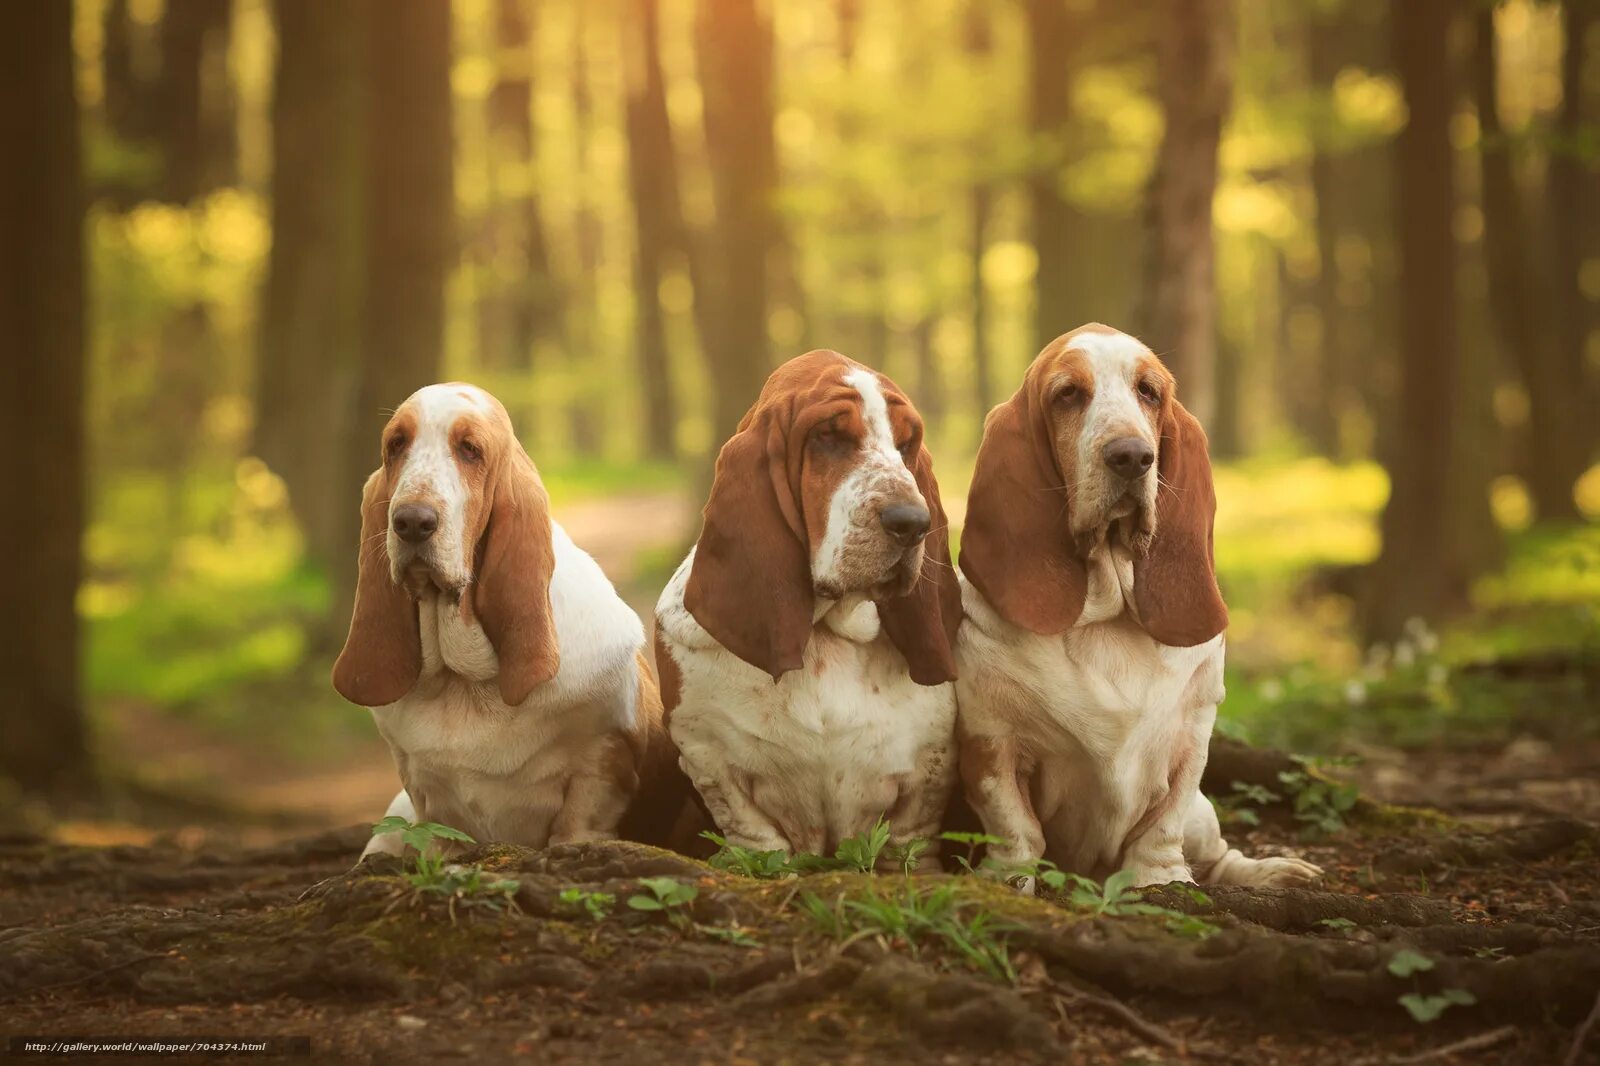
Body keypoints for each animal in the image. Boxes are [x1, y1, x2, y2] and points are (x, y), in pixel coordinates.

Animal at [331, 382, 668, 857]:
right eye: (396, 445)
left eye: (471, 450)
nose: (411, 521)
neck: (467, 683)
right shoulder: (421, 788)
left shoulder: (601, 763)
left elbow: (579, 819)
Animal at [652, 348, 960, 864]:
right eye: (828, 437)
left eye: (906, 443)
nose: (913, 523)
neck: (825, 630)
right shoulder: (707, 752)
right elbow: (756, 836)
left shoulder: (928, 764)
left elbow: (909, 838)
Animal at [953, 326, 1318, 889]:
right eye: (1068, 395)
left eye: (1148, 392)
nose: (1131, 456)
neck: (1106, 619)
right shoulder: (992, 739)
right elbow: (1016, 831)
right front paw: (1011, 882)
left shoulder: (1191, 735)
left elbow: (1162, 827)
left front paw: (1161, 883)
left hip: (1204, 816)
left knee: (1218, 854)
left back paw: (1274, 870)